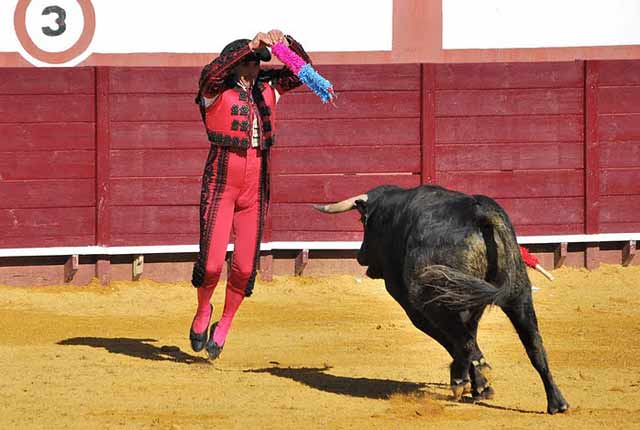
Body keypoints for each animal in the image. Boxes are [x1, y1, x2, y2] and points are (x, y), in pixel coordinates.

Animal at [316, 186, 568, 416]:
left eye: (363, 220)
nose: (360, 256)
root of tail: (478, 213)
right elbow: (471, 337)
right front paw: (480, 386)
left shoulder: (415, 308)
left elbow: (454, 341)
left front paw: (475, 383)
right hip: (517, 294)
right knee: (534, 345)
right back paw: (557, 403)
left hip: (439, 299)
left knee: (462, 340)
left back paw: (460, 380)